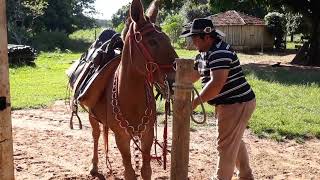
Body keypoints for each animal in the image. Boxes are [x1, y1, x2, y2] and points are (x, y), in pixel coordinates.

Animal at [87, 0, 178, 179]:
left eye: (167, 39)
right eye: (152, 42)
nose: (174, 80)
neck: (131, 98)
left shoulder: (147, 135)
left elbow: (146, 170)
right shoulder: (122, 138)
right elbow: (129, 171)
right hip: (91, 115)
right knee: (96, 135)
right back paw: (94, 166)